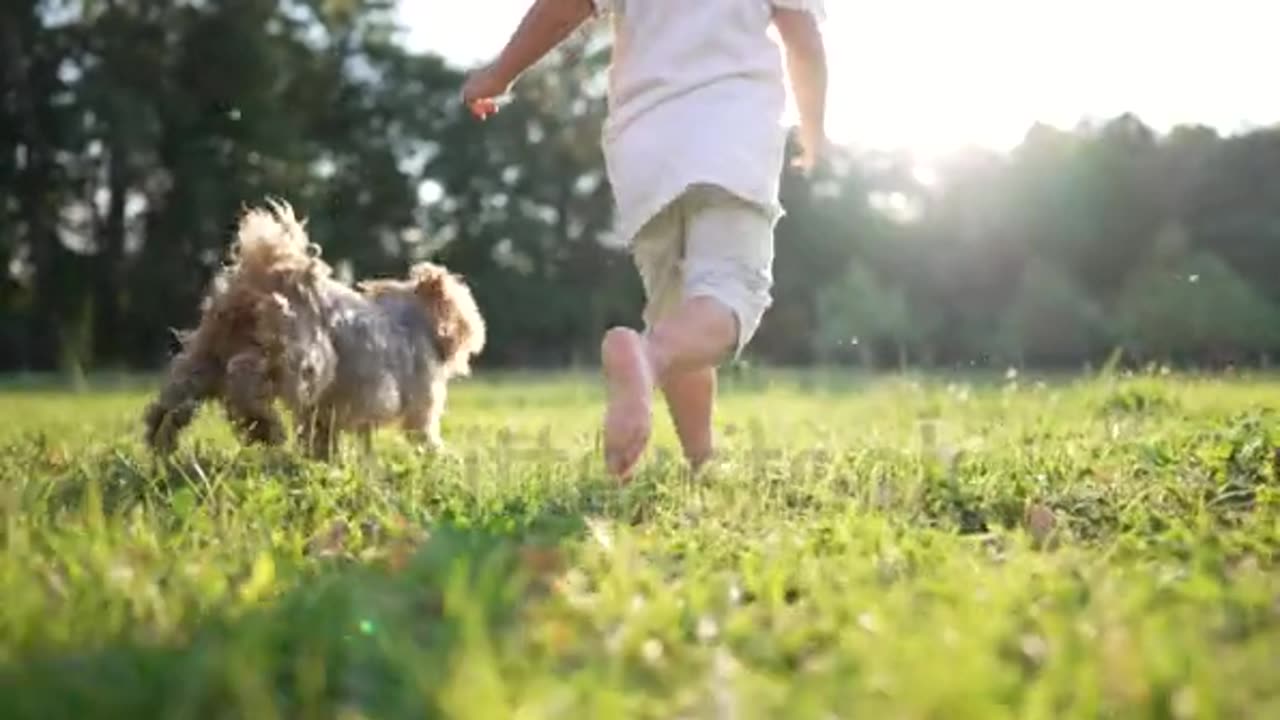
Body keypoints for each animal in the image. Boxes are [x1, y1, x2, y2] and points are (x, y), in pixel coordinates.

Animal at [144, 199, 483, 458]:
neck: (411, 320)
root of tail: (261, 276)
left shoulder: (325, 412)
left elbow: (320, 438)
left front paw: (323, 463)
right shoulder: (421, 407)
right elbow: (426, 437)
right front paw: (443, 459)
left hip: (205, 356)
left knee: (176, 398)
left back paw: (161, 437)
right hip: (298, 359)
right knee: (244, 374)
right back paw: (263, 427)